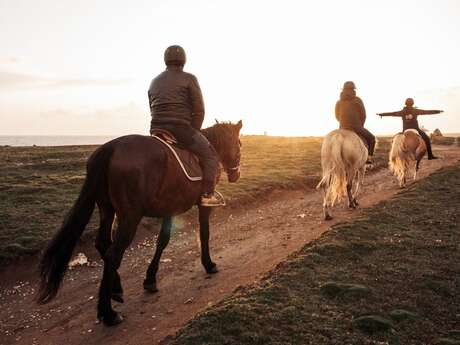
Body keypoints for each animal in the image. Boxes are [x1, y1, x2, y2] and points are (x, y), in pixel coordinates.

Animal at [37, 120, 243, 326]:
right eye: (239, 144)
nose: (236, 175)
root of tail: (112, 147)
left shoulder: (170, 208)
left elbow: (162, 241)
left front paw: (150, 278)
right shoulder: (203, 206)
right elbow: (204, 233)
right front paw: (208, 264)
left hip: (107, 209)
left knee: (103, 243)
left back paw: (116, 289)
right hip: (130, 217)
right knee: (113, 254)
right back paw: (108, 313)